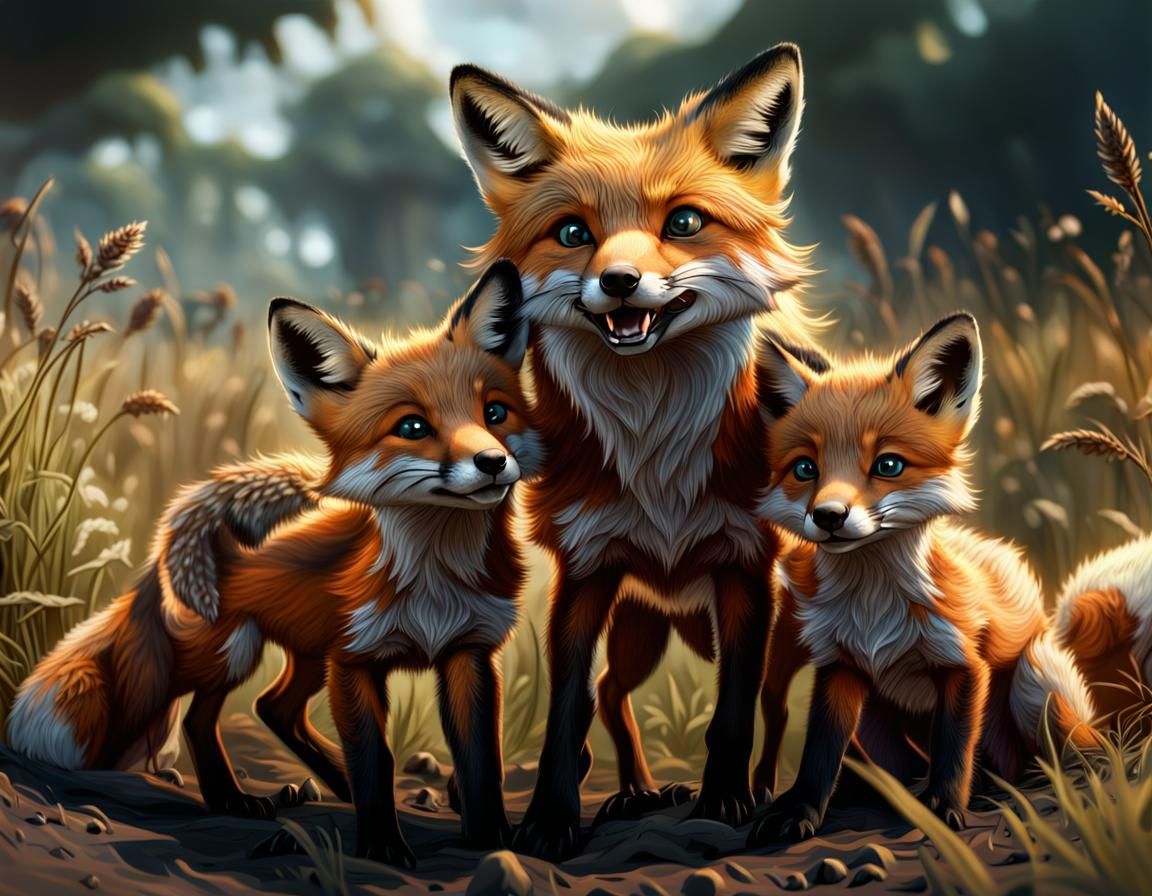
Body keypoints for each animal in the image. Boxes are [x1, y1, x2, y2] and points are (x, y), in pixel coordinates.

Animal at [8, 261, 540, 863]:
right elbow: (375, 757)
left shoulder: (469, 651)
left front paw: (490, 838)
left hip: (306, 654)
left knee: (272, 708)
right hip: (232, 650)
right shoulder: (354, 660)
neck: (435, 579)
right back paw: (233, 797)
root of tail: (180, 536)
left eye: (494, 412)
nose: (493, 462)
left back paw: (327, 781)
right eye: (412, 427)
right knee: (200, 718)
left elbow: (481, 758)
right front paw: (381, 845)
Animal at [449, 44, 815, 858]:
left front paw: (725, 803)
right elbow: (567, 710)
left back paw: (756, 789)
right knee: (614, 692)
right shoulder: (585, 570)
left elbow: (734, 711)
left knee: (774, 704)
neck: (656, 452)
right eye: (573, 233)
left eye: (684, 221)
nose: (619, 283)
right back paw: (637, 792)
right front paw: (550, 820)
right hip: (640, 626)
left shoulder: (747, 567)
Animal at [746, 312, 1099, 846]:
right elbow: (819, 753)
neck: (874, 608)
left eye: (888, 464)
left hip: (1036, 681)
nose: (827, 516)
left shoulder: (965, 663)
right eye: (805, 468)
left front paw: (945, 807)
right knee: (902, 764)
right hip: (874, 718)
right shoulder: (840, 667)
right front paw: (803, 808)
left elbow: (953, 751)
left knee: (1076, 752)